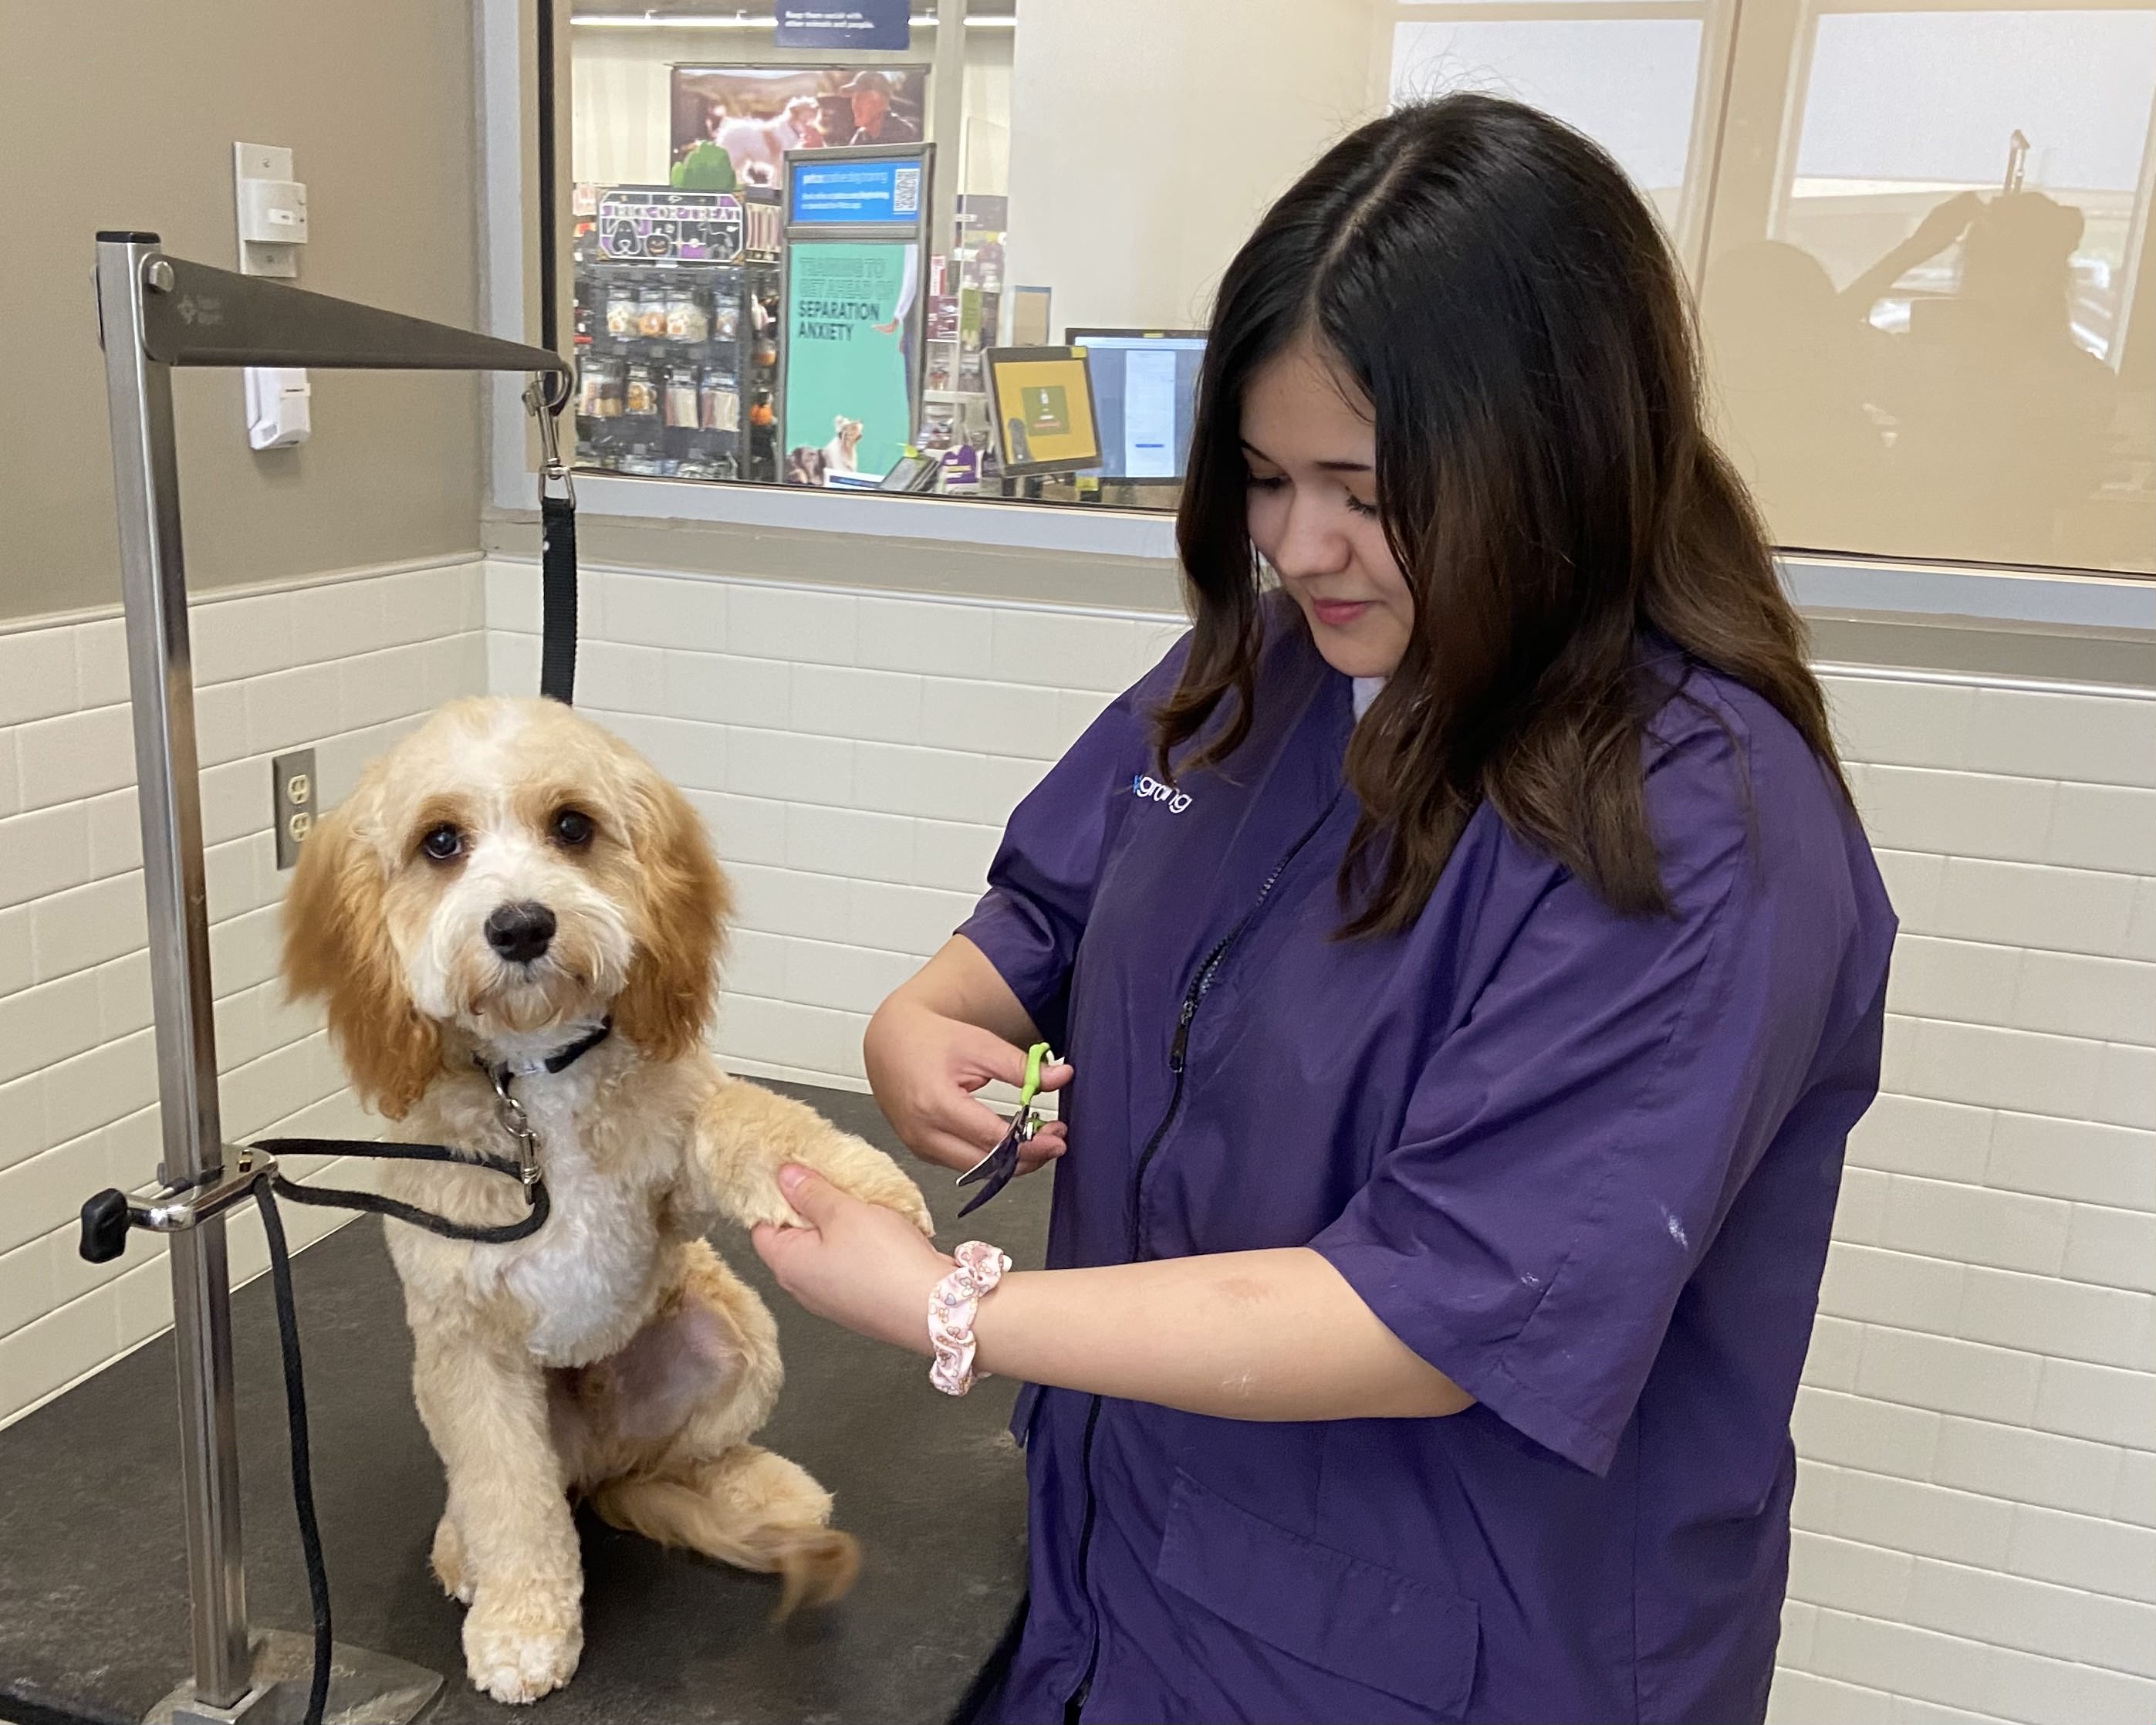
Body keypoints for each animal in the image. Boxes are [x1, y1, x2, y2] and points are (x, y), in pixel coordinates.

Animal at [284, 694, 927, 1707]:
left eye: (572, 826)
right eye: (440, 842)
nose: (520, 925)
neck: (537, 1075)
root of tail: (601, 1460)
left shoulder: (676, 1141)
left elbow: (747, 1119)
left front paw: (865, 1187)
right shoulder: (468, 1341)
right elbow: (509, 1499)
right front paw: (521, 1629)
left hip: (732, 1338)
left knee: (686, 1458)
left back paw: (760, 1489)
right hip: (466, 1398)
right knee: (503, 1493)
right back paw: (465, 1552)